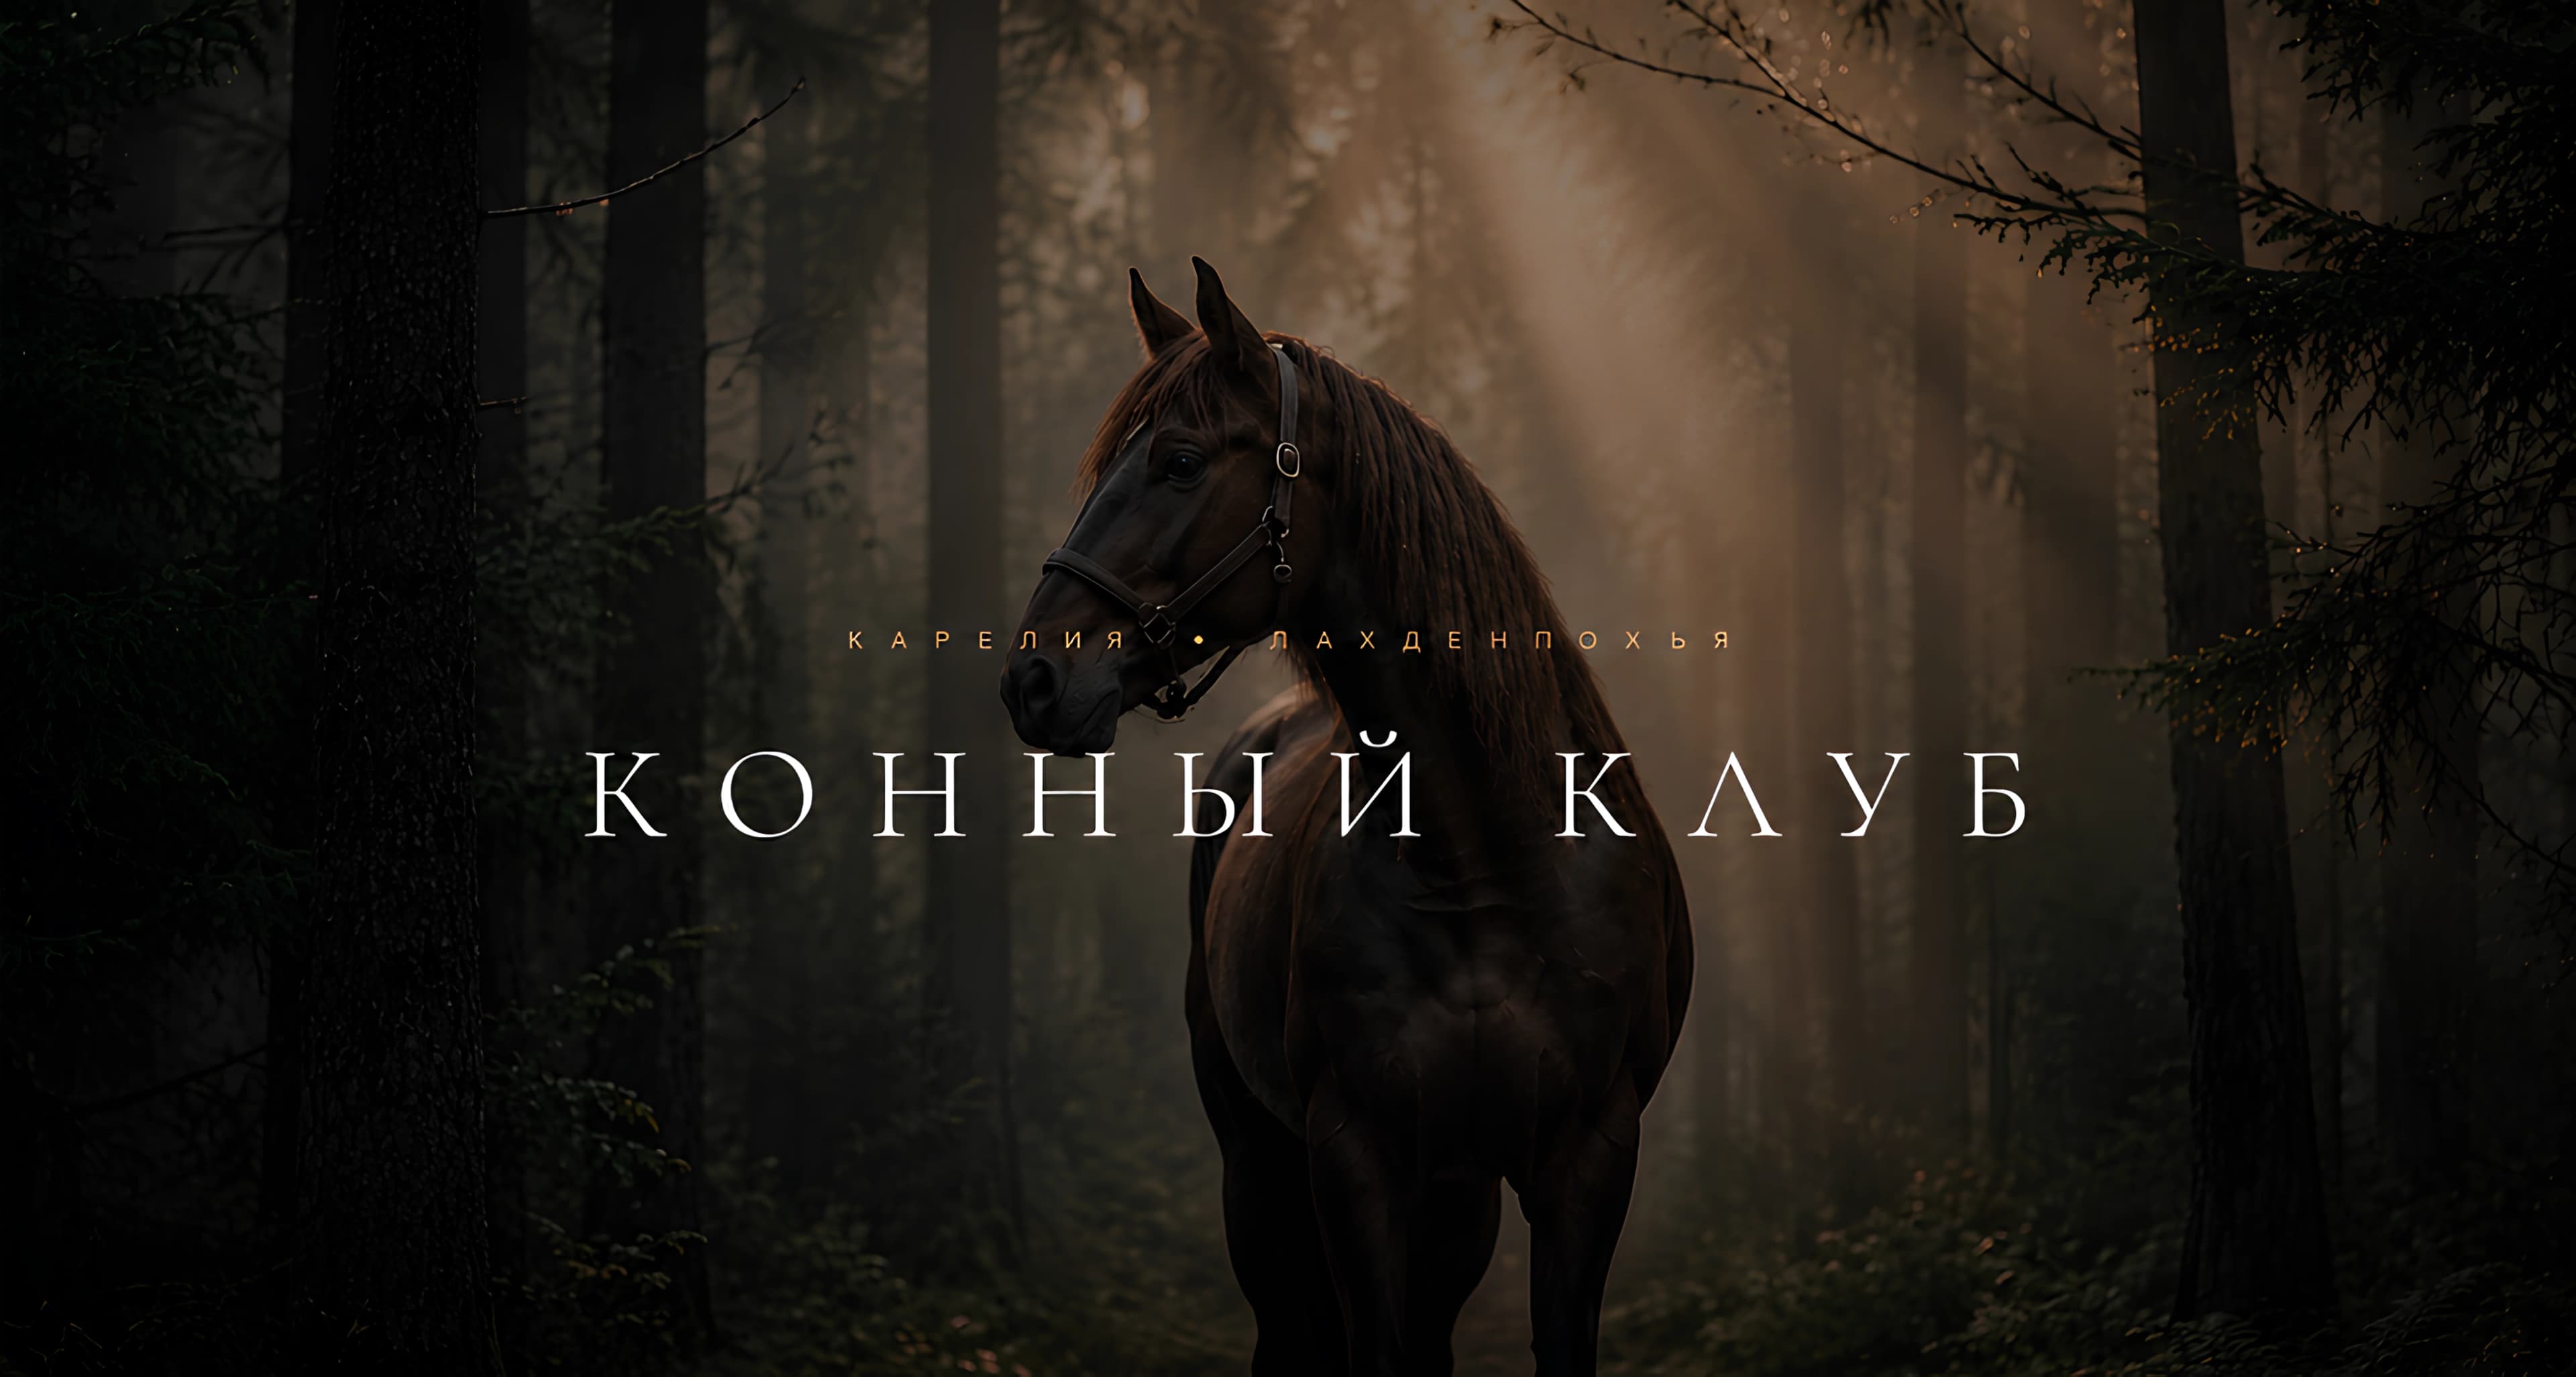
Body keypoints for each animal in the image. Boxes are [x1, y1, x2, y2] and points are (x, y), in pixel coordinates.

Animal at [1000, 259, 1691, 1376]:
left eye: (1180, 462)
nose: (1032, 680)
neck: (1484, 865)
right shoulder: (1353, 1158)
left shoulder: (1586, 1160)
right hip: (1259, 1168)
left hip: (1455, 1198)